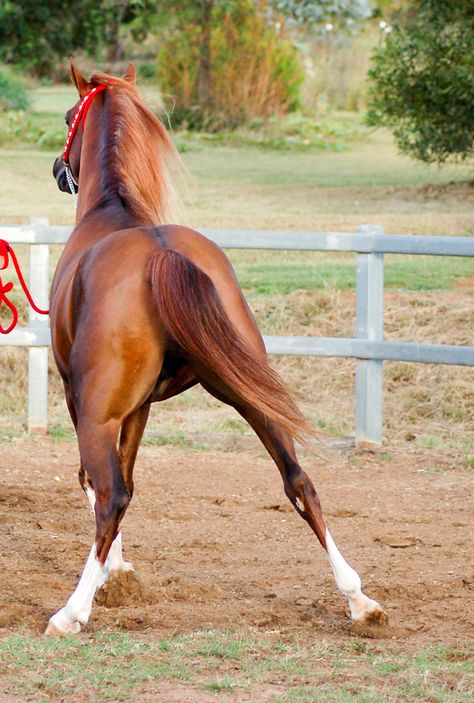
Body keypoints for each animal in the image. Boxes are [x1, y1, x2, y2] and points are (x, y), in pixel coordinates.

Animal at [45, 66, 388, 636]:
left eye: (71, 115)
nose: (57, 169)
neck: (111, 212)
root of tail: (161, 255)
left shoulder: (84, 401)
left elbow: (97, 483)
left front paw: (109, 576)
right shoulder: (139, 409)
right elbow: (130, 476)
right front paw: (121, 572)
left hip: (98, 411)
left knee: (109, 494)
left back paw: (70, 613)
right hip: (249, 390)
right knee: (299, 480)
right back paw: (359, 600)